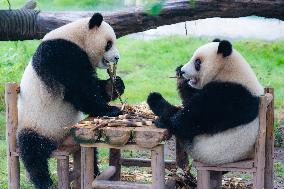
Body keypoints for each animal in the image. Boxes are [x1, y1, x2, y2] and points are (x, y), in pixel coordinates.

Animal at [16, 13, 124, 189]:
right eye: (109, 44)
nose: (117, 57)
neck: (76, 37)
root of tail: (56, 143)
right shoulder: (60, 54)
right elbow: (80, 89)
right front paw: (111, 110)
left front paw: (115, 85)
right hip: (35, 125)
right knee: (32, 150)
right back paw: (44, 181)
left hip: (74, 136)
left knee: (90, 151)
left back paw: (95, 172)